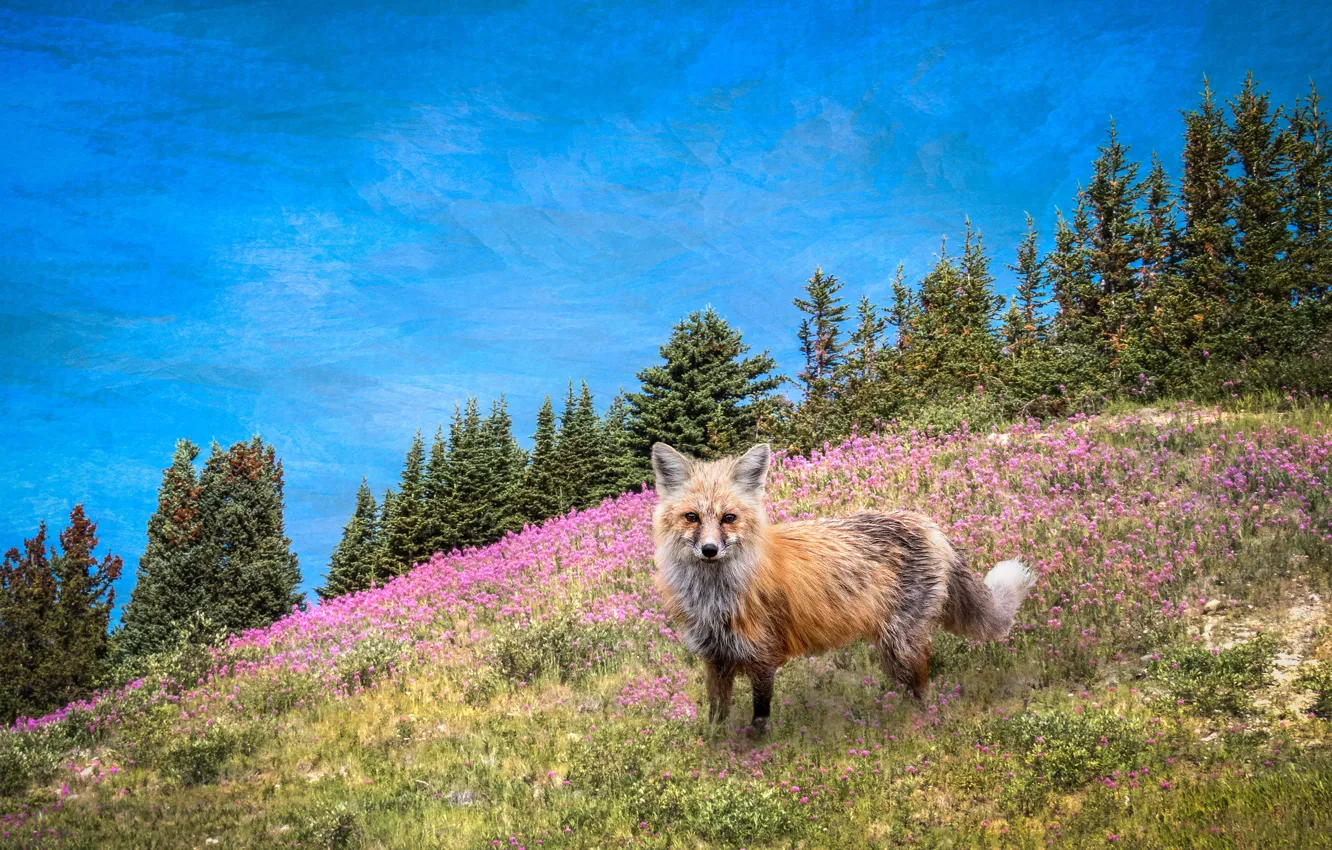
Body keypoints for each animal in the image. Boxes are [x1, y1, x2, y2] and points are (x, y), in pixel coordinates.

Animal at [650, 441, 1034, 732]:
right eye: (692, 517)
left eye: (728, 518)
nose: (709, 550)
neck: (715, 598)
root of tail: (929, 524)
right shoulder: (716, 660)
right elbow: (716, 717)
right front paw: (715, 748)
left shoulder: (762, 656)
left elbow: (760, 718)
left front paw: (754, 752)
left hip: (901, 644)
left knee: (921, 692)